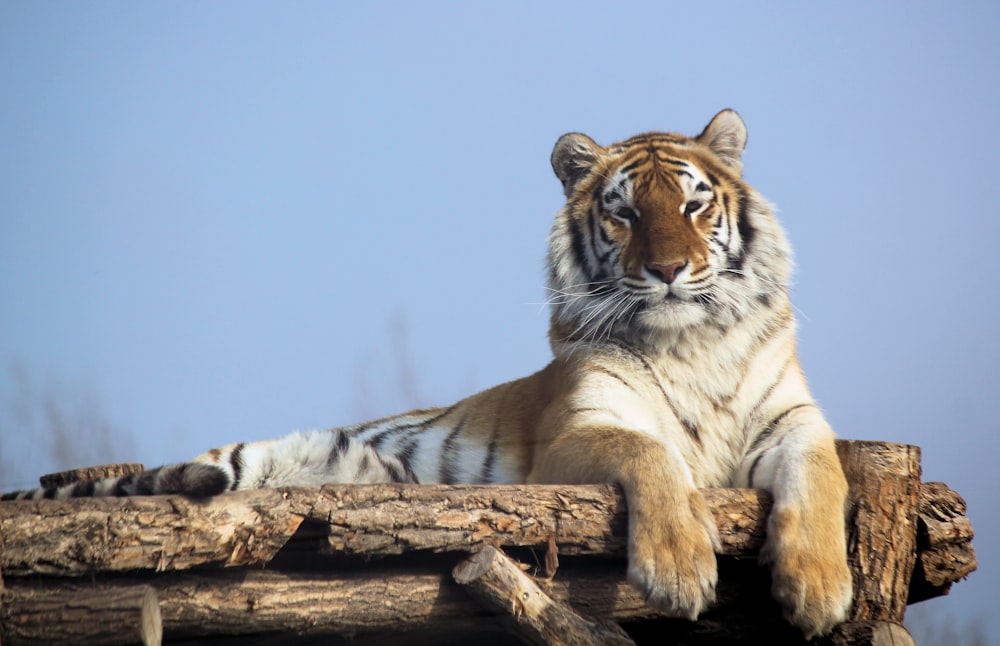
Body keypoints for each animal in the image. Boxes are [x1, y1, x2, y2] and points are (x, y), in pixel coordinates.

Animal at [5, 110, 852, 636]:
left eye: (693, 204)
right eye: (625, 213)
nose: (669, 270)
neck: (690, 343)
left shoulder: (794, 422)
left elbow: (825, 474)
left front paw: (819, 589)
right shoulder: (577, 435)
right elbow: (652, 453)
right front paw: (679, 570)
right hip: (243, 460)